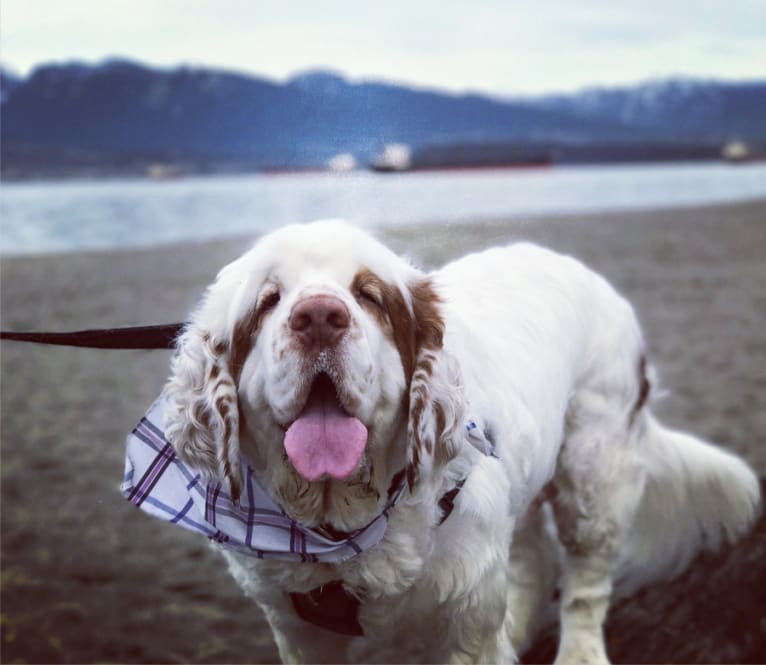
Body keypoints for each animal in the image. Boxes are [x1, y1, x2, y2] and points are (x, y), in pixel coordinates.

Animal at [123, 220, 760, 660]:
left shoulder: (466, 621)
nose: (320, 316)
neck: (340, 525)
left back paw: (580, 653)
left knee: (586, 584)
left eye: (369, 295)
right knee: (532, 555)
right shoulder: (298, 628)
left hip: (593, 475)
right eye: (268, 301)